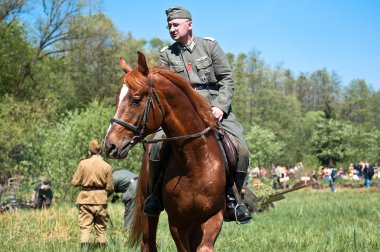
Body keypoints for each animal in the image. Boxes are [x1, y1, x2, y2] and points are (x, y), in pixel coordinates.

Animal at [104, 52, 226, 251]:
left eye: (135, 100)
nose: (109, 146)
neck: (195, 161)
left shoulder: (213, 216)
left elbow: (204, 247)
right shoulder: (177, 223)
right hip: (149, 210)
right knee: (148, 243)